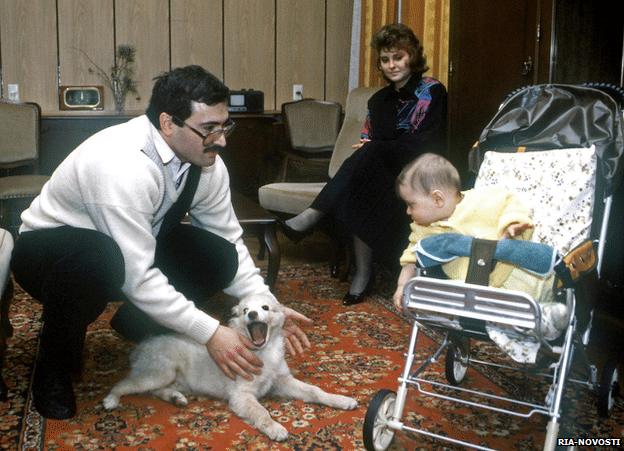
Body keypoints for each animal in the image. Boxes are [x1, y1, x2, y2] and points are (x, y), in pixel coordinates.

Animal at [105, 296, 358, 442]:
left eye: (265, 307)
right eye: (245, 310)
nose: (252, 314)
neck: (263, 353)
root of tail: (141, 346)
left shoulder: (282, 380)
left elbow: (315, 390)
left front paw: (341, 400)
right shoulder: (241, 395)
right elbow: (261, 413)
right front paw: (275, 428)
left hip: (172, 378)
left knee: (156, 391)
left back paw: (176, 398)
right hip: (159, 372)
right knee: (125, 384)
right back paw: (110, 399)